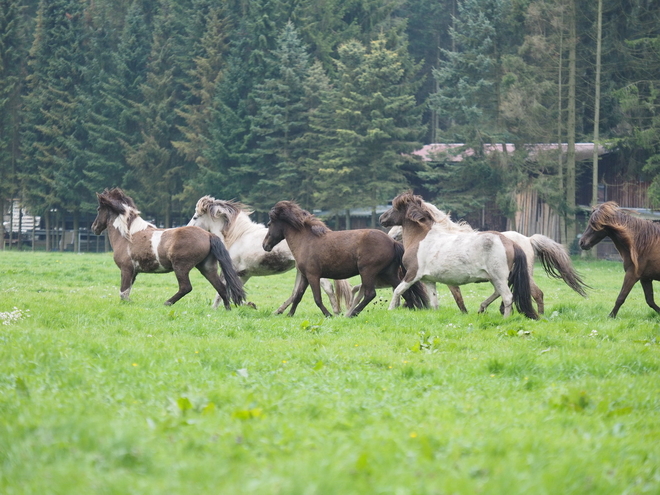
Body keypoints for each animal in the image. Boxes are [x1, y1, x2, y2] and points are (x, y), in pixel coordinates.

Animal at [91, 190, 246, 310]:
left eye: (99, 209)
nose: (94, 227)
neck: (128, 235)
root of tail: (209, 235)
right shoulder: (134, 272)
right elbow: (126, 292)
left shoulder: (126, 269)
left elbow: (123, 293)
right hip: (207, 267)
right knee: (221, 288)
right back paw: (227, 310)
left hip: (181, 267)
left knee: (186, 287)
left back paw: (167, 303)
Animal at [188, 195, 354, 314]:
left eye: (195, 217)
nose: (187, 229)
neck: (237, 236)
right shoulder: (244, 274)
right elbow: (237, 290)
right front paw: (248, 305)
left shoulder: (231, 270)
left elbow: (224, 290)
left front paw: (218, 308)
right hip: (300, 270)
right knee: (295, 293)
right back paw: (278, 311)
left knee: (327, 287)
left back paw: (336, 311)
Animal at [260, 201, 430, 318]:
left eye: (269, 223)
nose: (265, 245)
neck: (306, 240)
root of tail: (393, 242)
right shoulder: (305, 276)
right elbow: (298, 296)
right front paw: (290, 315)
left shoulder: (313, 275)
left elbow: (317, 298)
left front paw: (329, 315)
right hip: (388, 273)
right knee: (404, 291)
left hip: (367, 271)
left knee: (370, 294)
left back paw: (352, 313)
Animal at [378, 192, 540, 320]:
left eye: (395, 207)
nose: (381, 218)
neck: (420, 238)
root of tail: (511, 242)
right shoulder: (429, 280)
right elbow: (434, 302)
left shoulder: (412, 274)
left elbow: (398, 290)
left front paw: (390, 309)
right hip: (495, 279)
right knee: (498, 293)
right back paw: (482, 308)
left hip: (498, 277)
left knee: (507, 297)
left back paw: (505, 319)